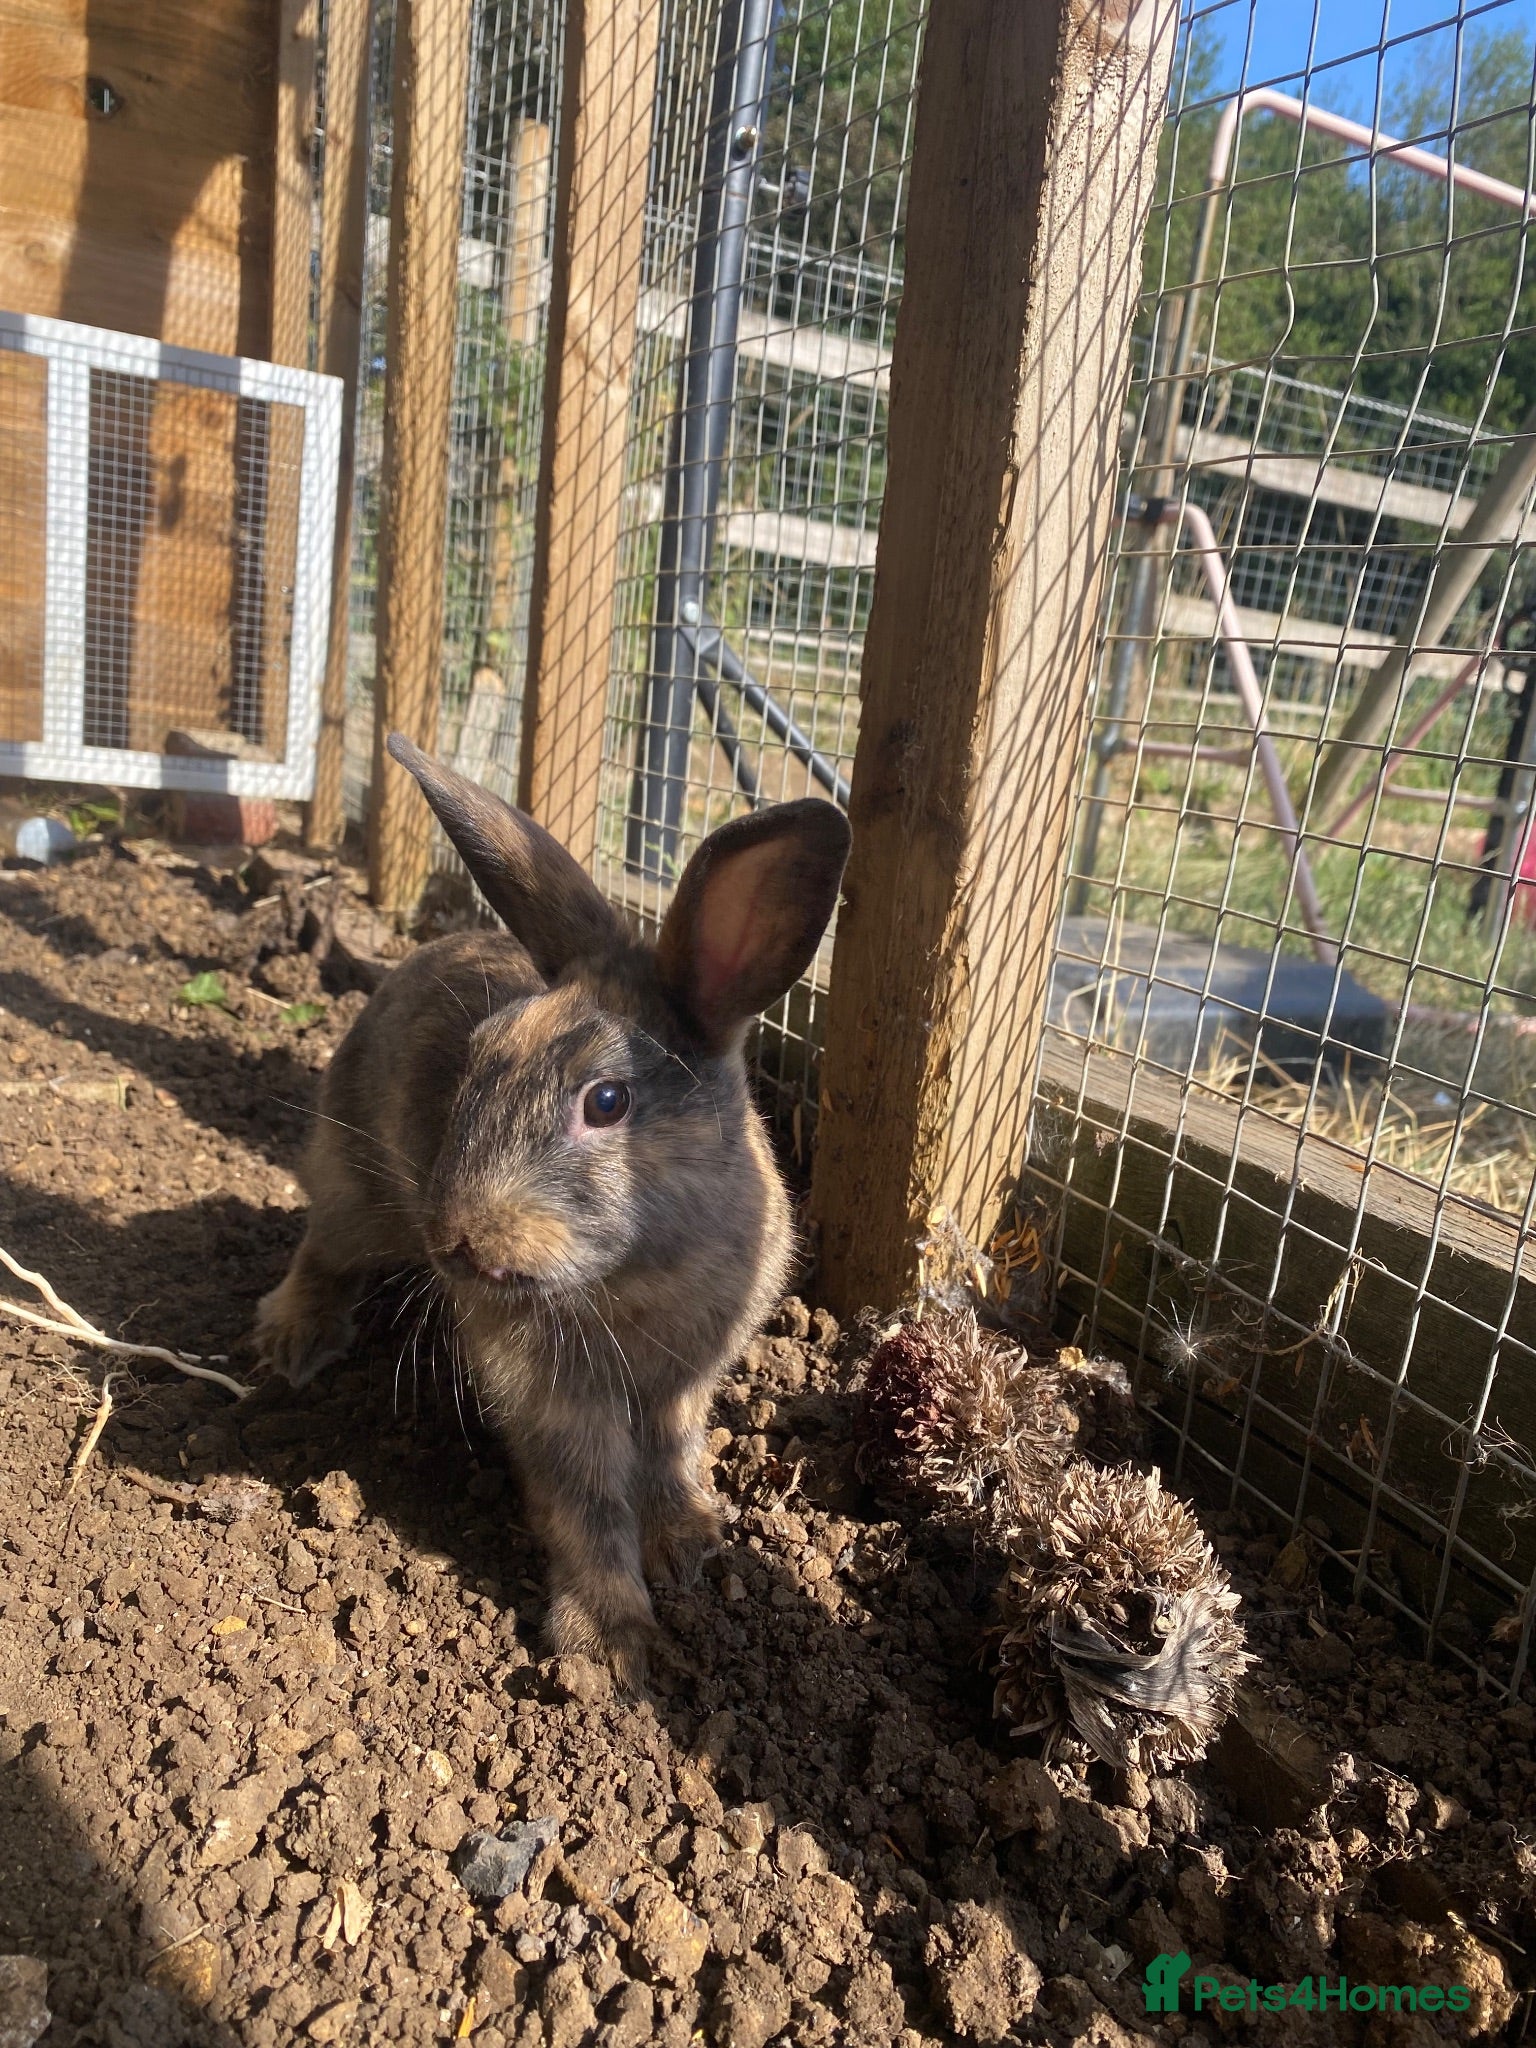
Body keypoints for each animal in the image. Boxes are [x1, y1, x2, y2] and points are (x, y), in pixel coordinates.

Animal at [256, 733, 850, 1687]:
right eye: (477, 1058)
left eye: (607, 1101)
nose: (457, 1237)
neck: (634, 1276)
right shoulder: (554, 1401)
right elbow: (587, 1508)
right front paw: (609, 1644)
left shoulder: (684, 1386)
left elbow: (672, 1462)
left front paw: (691, 1545)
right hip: (357, 1195)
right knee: (324, 1251)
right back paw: (294, 1344)